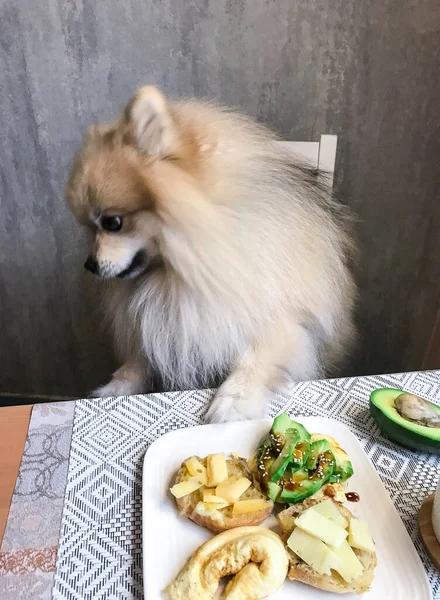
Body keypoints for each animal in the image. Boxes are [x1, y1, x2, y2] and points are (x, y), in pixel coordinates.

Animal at [69, 86, 358, 422]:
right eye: (88, 228)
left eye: (112, 223)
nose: (89, 264)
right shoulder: (164, 319)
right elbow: (143, 353)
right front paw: (118, 385)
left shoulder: (282, 319)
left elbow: (257, 355)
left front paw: (233, 399)